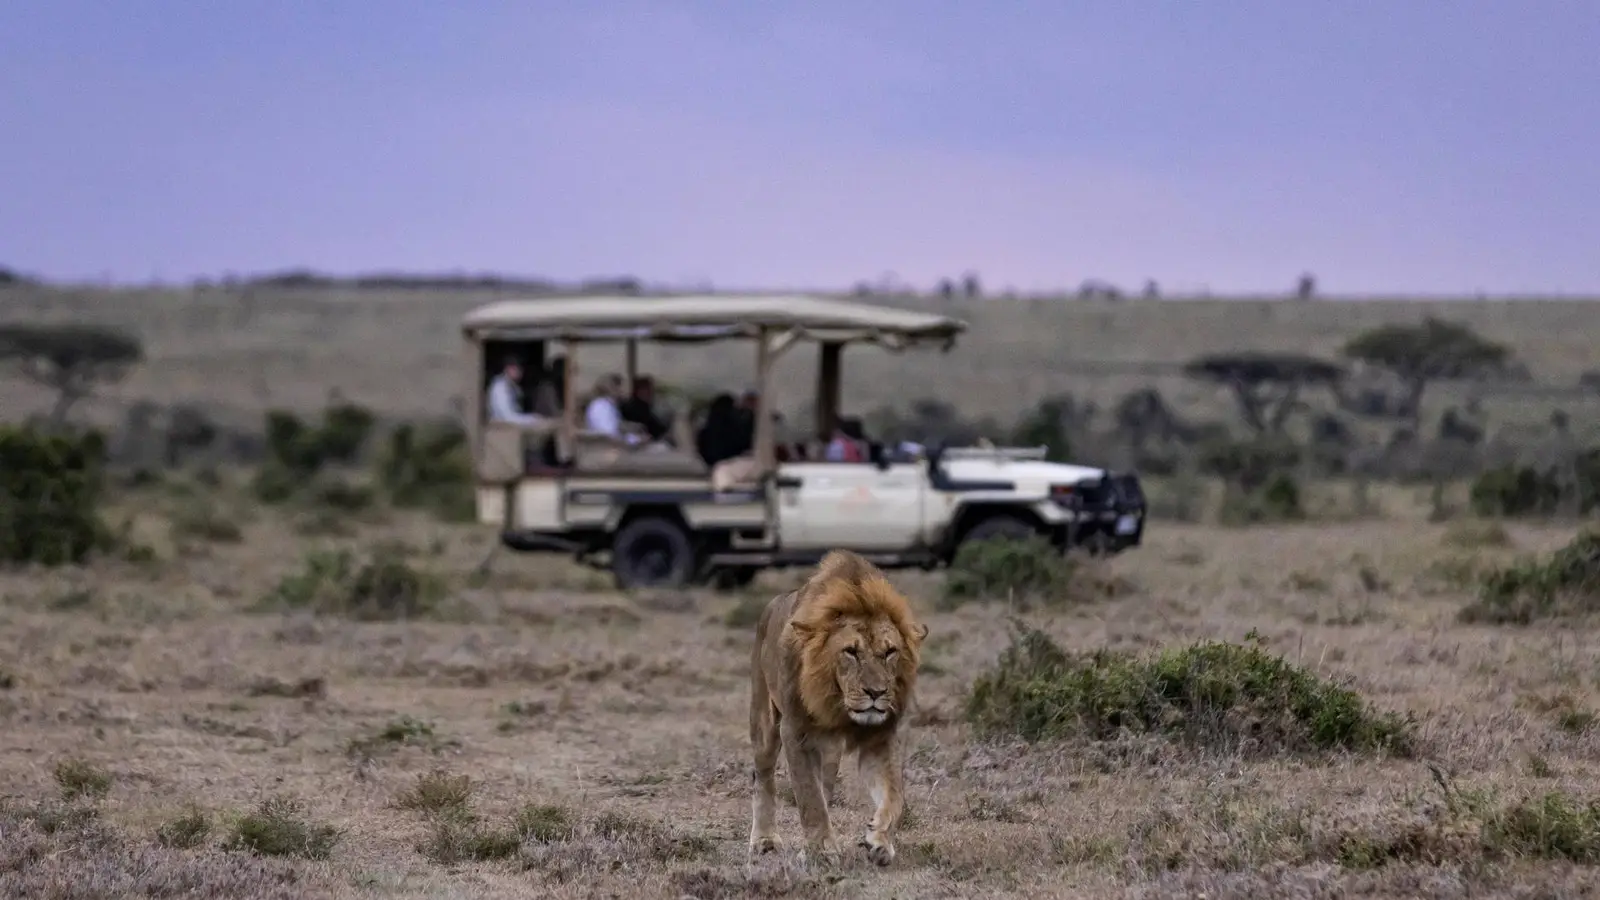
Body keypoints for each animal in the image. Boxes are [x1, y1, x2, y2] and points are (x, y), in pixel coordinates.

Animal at [747, 549, 929, 866]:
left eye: (890, 652)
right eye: (851, 652)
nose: (876, 693)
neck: (840, 708)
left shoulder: (880, 737)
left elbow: (894, 795)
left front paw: (879, 840)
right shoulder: (795, 732)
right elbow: (809, 797)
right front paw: (822, 851)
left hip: (829, 751)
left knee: (826, 782)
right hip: (764, 723)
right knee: (764, 777)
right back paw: (765, 840)